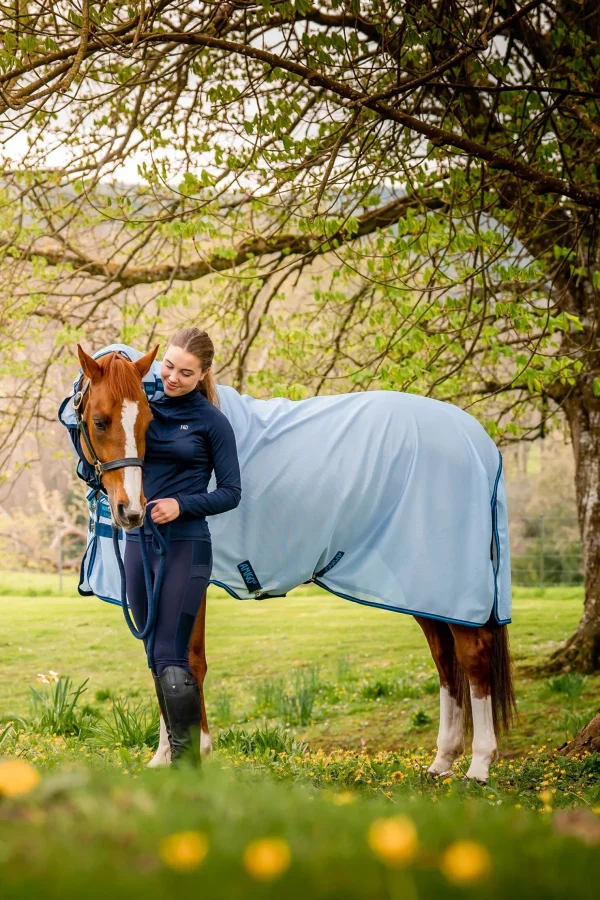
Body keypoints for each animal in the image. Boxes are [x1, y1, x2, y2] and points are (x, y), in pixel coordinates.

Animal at [76, 344, 516, 780]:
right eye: (100, 421)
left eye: (147, 423)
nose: (132, 511)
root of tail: (479, 442)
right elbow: (161, 659)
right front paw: (164, 755)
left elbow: (188, 660)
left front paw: (194, 751)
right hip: (424, 589)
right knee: (445, 660)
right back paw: (442, 760)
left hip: (454, 586)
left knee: (473, 656)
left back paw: (479, 764)